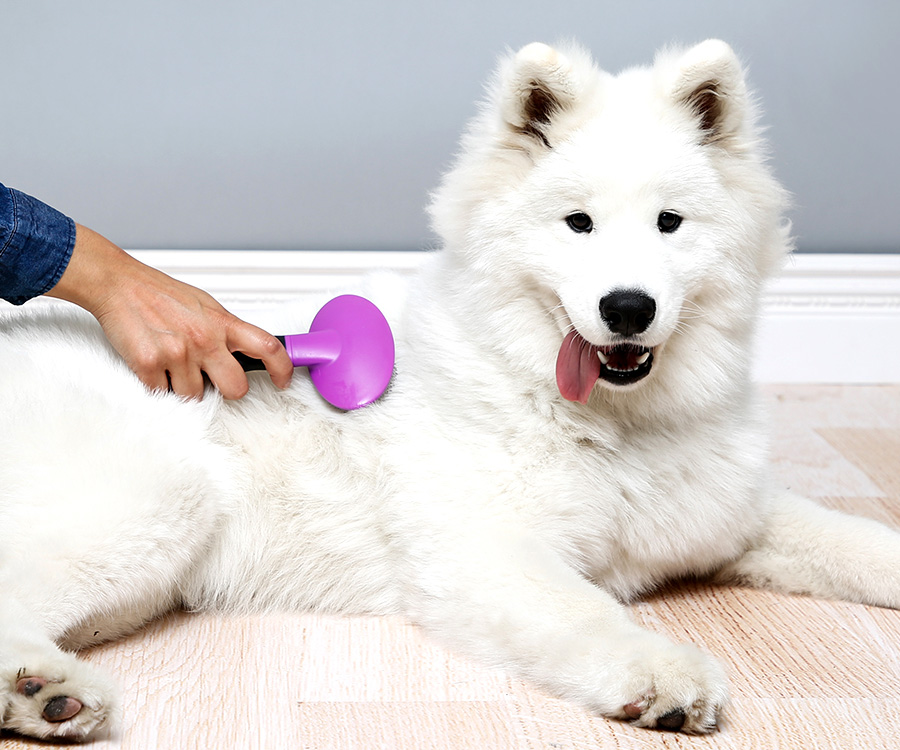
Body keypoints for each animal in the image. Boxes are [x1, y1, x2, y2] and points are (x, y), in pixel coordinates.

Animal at [1, 41, 900, 740]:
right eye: (578, 223)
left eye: (669, 223)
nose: (628, 308)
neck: (611, 424)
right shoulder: (487, 549)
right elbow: (587, 614)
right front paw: (664, 675)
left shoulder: (730, 514)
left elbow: (849, 537)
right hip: (156, 500)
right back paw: (46, 691)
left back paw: (42, 696)